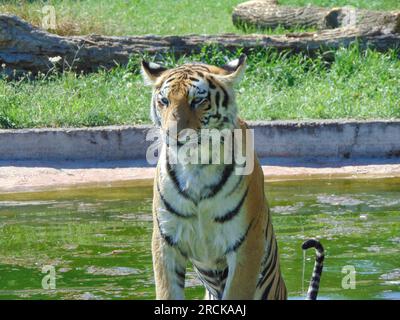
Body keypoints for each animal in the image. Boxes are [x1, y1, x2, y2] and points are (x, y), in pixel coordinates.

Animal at [142, 55, 324, 300]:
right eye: (164, 101)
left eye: (197, 101)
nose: (172, 135)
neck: (195, 165)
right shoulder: (165, 241)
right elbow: (167, 292)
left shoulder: (246, 243)